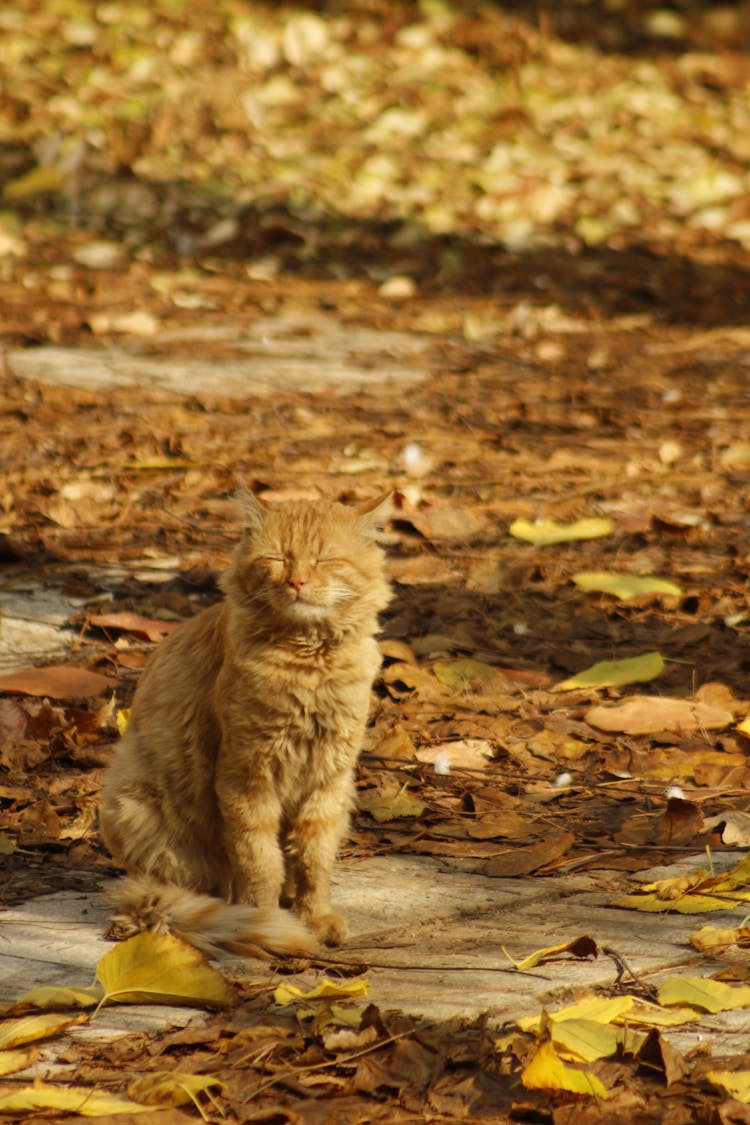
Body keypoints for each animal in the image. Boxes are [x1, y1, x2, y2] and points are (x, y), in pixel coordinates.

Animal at [98, 488, 393, 954]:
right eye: (278, 558)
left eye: (324, 560)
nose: (297, 582)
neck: (308, 664)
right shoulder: (247, 777)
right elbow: (261, 863)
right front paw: (270, 922)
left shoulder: (329, 780)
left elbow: (314, 861)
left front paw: (314, 917)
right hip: (136, 808)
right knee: (161, 892)